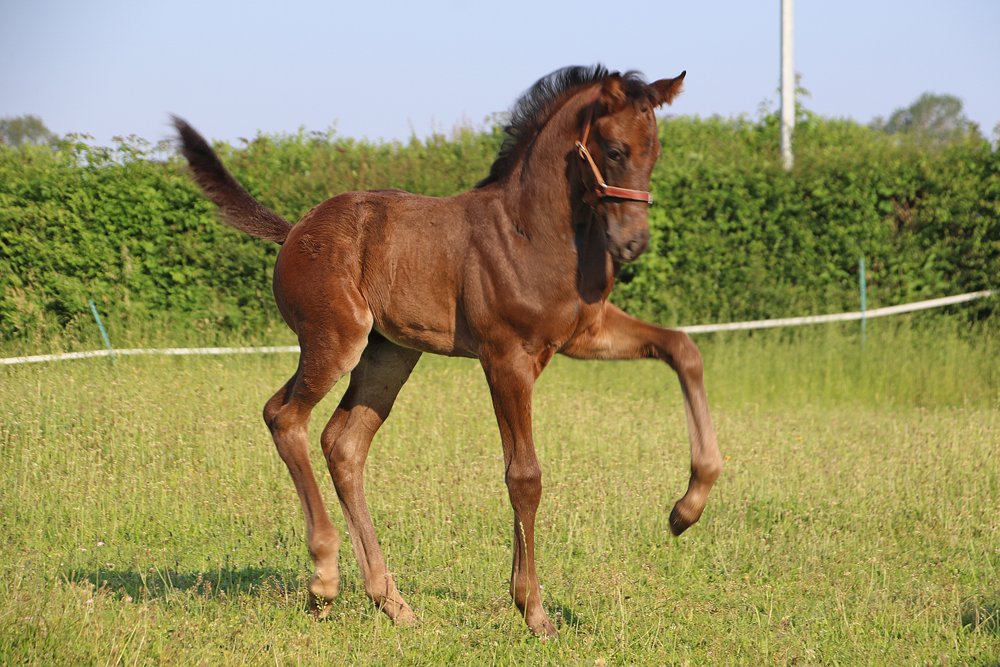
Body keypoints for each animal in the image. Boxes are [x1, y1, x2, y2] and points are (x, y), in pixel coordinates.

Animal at [173, 64, 722, 638]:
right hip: (335, 339)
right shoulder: (505, 357)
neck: (533, 233)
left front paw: (686, 509)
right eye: (614, 150)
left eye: (654, 151)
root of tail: (295, 230)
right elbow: (524, 476)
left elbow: (683, 349)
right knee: (284, 416)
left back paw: (390, 599)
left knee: (343, 444)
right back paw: (324, 580)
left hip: (388, 355)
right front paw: (533, 610)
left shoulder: (585, 333)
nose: (633, 244)